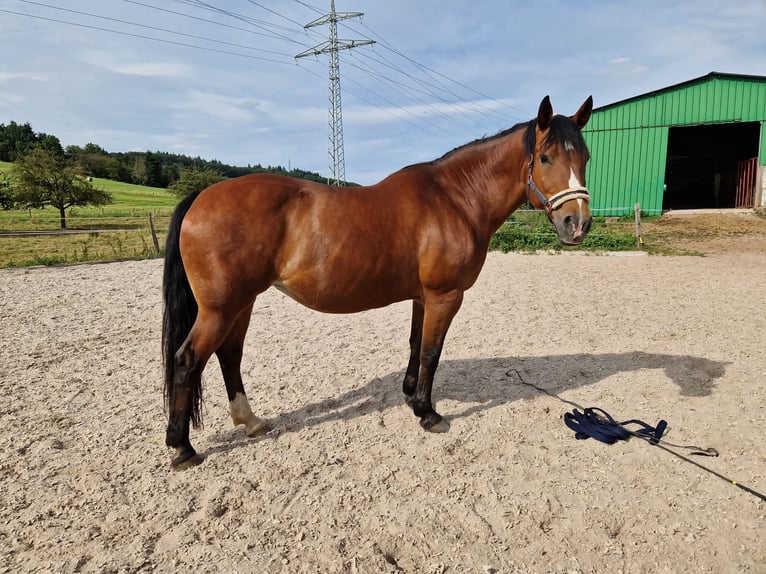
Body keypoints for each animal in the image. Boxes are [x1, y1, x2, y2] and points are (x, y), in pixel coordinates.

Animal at [160, 95, 592, 472]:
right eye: (545, 157)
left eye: (584, 157)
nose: (578, 224)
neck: (456, 198)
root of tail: (202, 196)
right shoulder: (445, 296)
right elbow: (432, 352)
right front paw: (428, 413)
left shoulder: (423, 297)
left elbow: (416, 345)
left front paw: (410, 396)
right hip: (221, 308)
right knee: (187, 360)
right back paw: (183, 448)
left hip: (241, 303)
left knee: (229, 355)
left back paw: (250, 422)